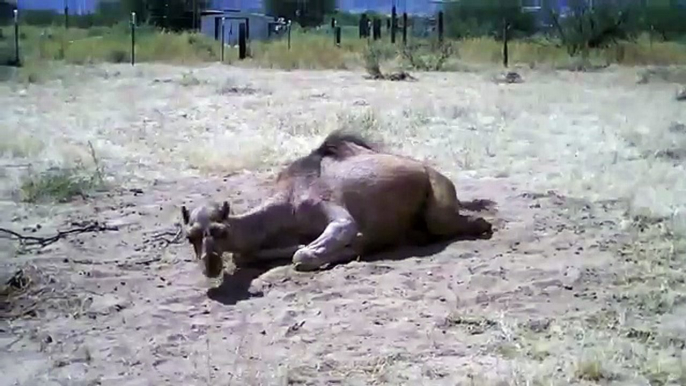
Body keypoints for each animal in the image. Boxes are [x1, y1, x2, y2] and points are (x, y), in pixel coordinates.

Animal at [181, 130, 494, 278]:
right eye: (190, 236)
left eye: (220, 231)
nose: (210, 265)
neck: (286, 204)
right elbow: (247, 255)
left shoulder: (327, 205)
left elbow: (309, 251)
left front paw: (350, 249)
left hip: (438, 199)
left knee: (467, 222)